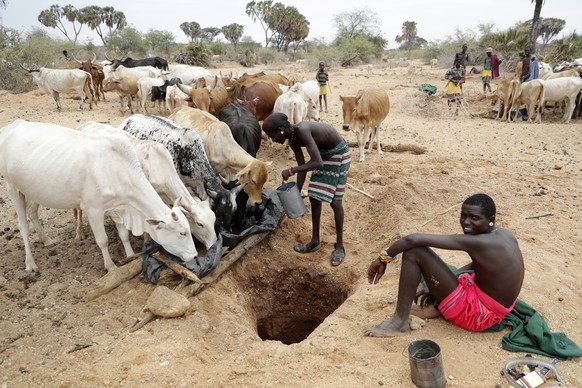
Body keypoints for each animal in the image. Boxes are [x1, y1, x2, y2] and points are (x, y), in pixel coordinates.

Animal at [0, 119, 198, 272]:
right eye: (182, 232)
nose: (195, 255)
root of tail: (10, 127)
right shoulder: (93, 209)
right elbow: (103, 240)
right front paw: (110, 266)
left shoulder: (118, 207)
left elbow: (124, 235)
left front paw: (130, 255)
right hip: (12, 187)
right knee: (23, 226)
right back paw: (30, 264)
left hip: (31, 190)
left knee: (32, 213)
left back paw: (47, 240)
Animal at [75, 122, 217, 249]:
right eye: (200, 224)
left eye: (214, 219)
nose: (214, 244)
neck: (160, 166)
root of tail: (83, 125)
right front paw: (147, 241)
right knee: (78, 210)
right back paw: (79, 233)